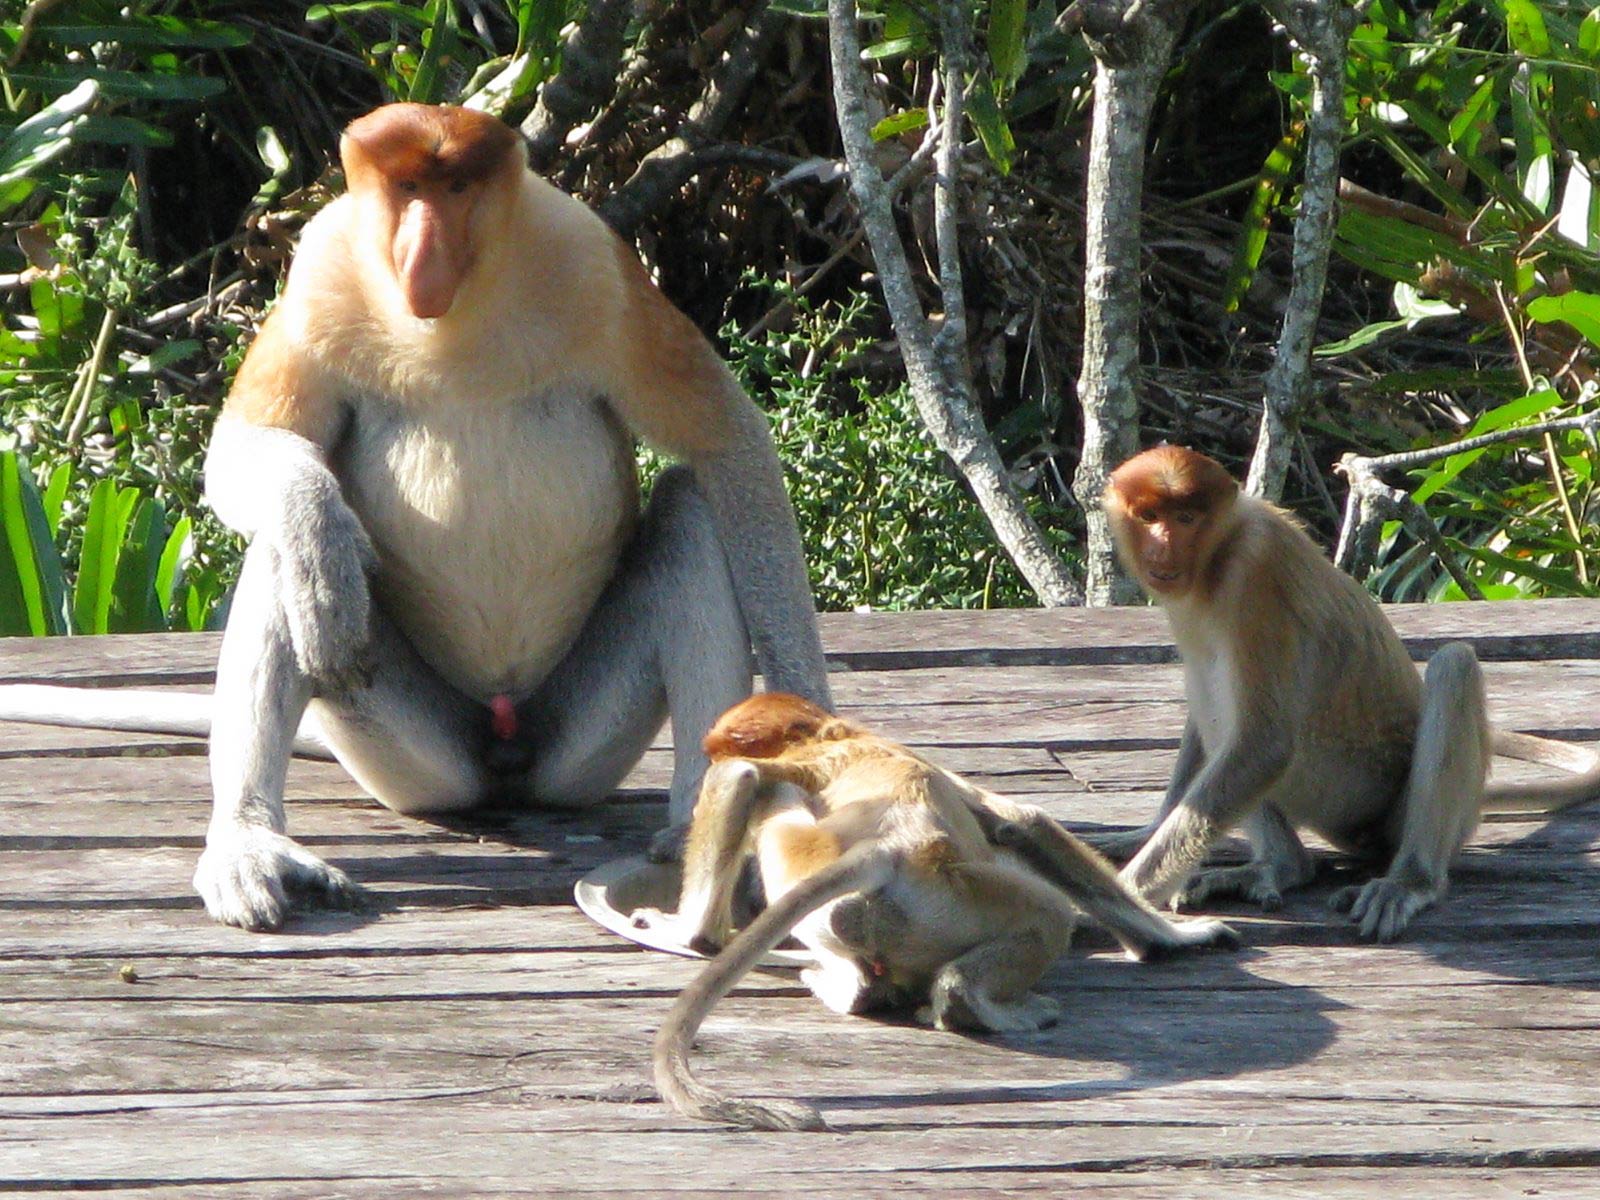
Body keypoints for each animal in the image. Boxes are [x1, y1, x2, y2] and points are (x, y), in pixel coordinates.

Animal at [0, 103, 831, 932]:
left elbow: (726, 442)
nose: (422, 253)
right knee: (280, 554)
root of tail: (502, 751)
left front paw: (804, 754)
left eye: (455, 188)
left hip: (583, 743)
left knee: (691, 509)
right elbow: (247, 454)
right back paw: (248, 837)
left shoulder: (598, 266)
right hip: (412, 757)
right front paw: (318, 535)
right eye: (406, 189)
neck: (453, 326)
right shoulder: (318, 277)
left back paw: (697, 826)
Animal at [646, 692, 1239, 1131]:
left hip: (804, 864)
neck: (839, 739)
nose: (705, 762)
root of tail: (887, 849)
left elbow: (738, 776)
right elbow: (1020, 822)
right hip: (951, 901)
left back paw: (848, 985)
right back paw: (968, 1001)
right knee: (1048, 913)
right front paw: (1175, 938)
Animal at [1098, 444, 1600, 941]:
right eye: (1149, 515)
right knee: (1209, 688)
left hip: (1354, 791)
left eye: (1186, 518)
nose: (1162, 547)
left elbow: (1263, 746)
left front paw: (1124, 897)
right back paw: (1281, 866)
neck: (1218, 554)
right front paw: (1141, 837)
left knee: (1453, 667)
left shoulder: (1255, 574)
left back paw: (1407, 882)